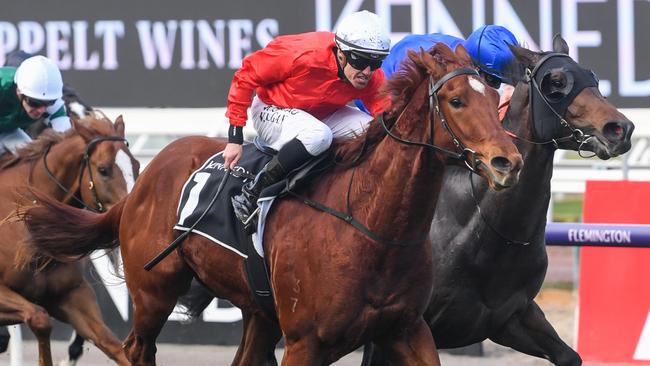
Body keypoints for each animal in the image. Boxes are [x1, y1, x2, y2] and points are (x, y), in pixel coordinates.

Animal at [0, 111, 137, 366]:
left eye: (137, 165)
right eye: (103, 169)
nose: (130, 215)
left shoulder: (72, 294)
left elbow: (114, 345)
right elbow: (40, 319)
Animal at [19, 43, 520, 366]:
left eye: (495, 96)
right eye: (456, 100)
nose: (508, 161)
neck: (371, 226)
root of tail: (145, 180)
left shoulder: (407, 329)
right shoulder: (304, 342)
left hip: (257, 311)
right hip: (153, 293)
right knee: (136, 350)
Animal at [364, 35, 632, 364]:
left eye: (591, 76)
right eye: (556, 82)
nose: (620, 129)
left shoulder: (511, 316)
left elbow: (569, 355)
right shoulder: (395, 329)